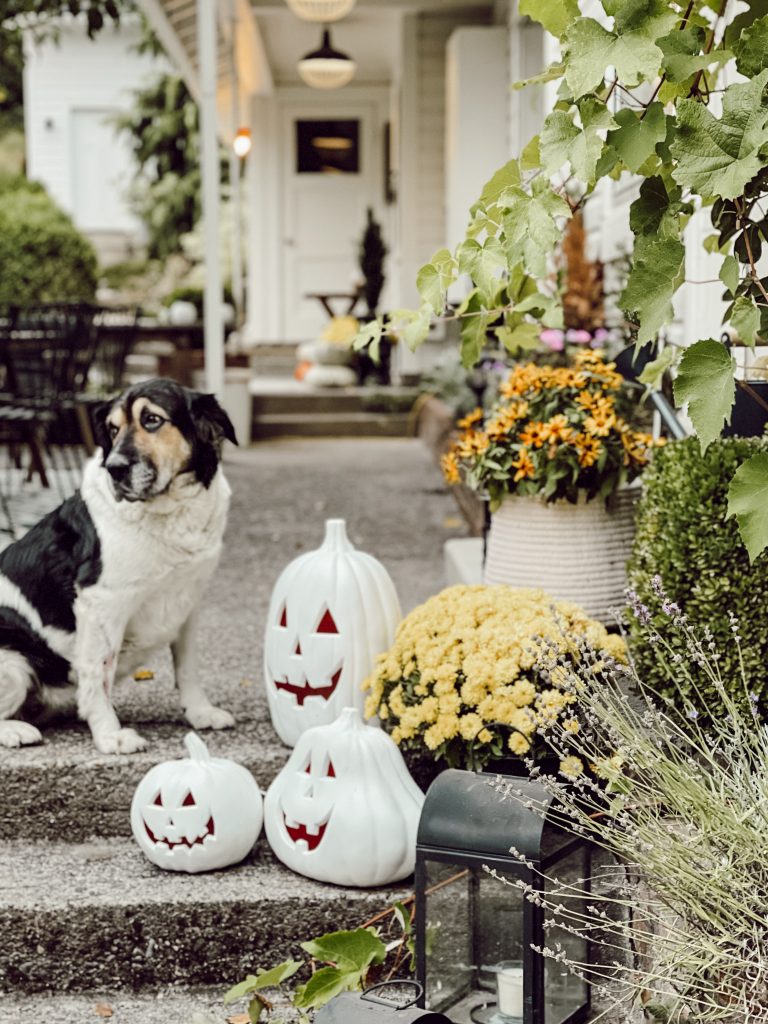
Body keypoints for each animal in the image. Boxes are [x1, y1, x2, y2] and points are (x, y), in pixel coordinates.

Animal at [0, 380, 237, 757]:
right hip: (14, 661)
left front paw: (201, 713)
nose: (115, 468)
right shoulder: (102, 603)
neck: (169, 510)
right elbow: (98, 674)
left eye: (152, 420)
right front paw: (110, 736)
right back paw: (16, 730)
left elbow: (187, 666)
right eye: (112, 429)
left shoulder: (189, 603)